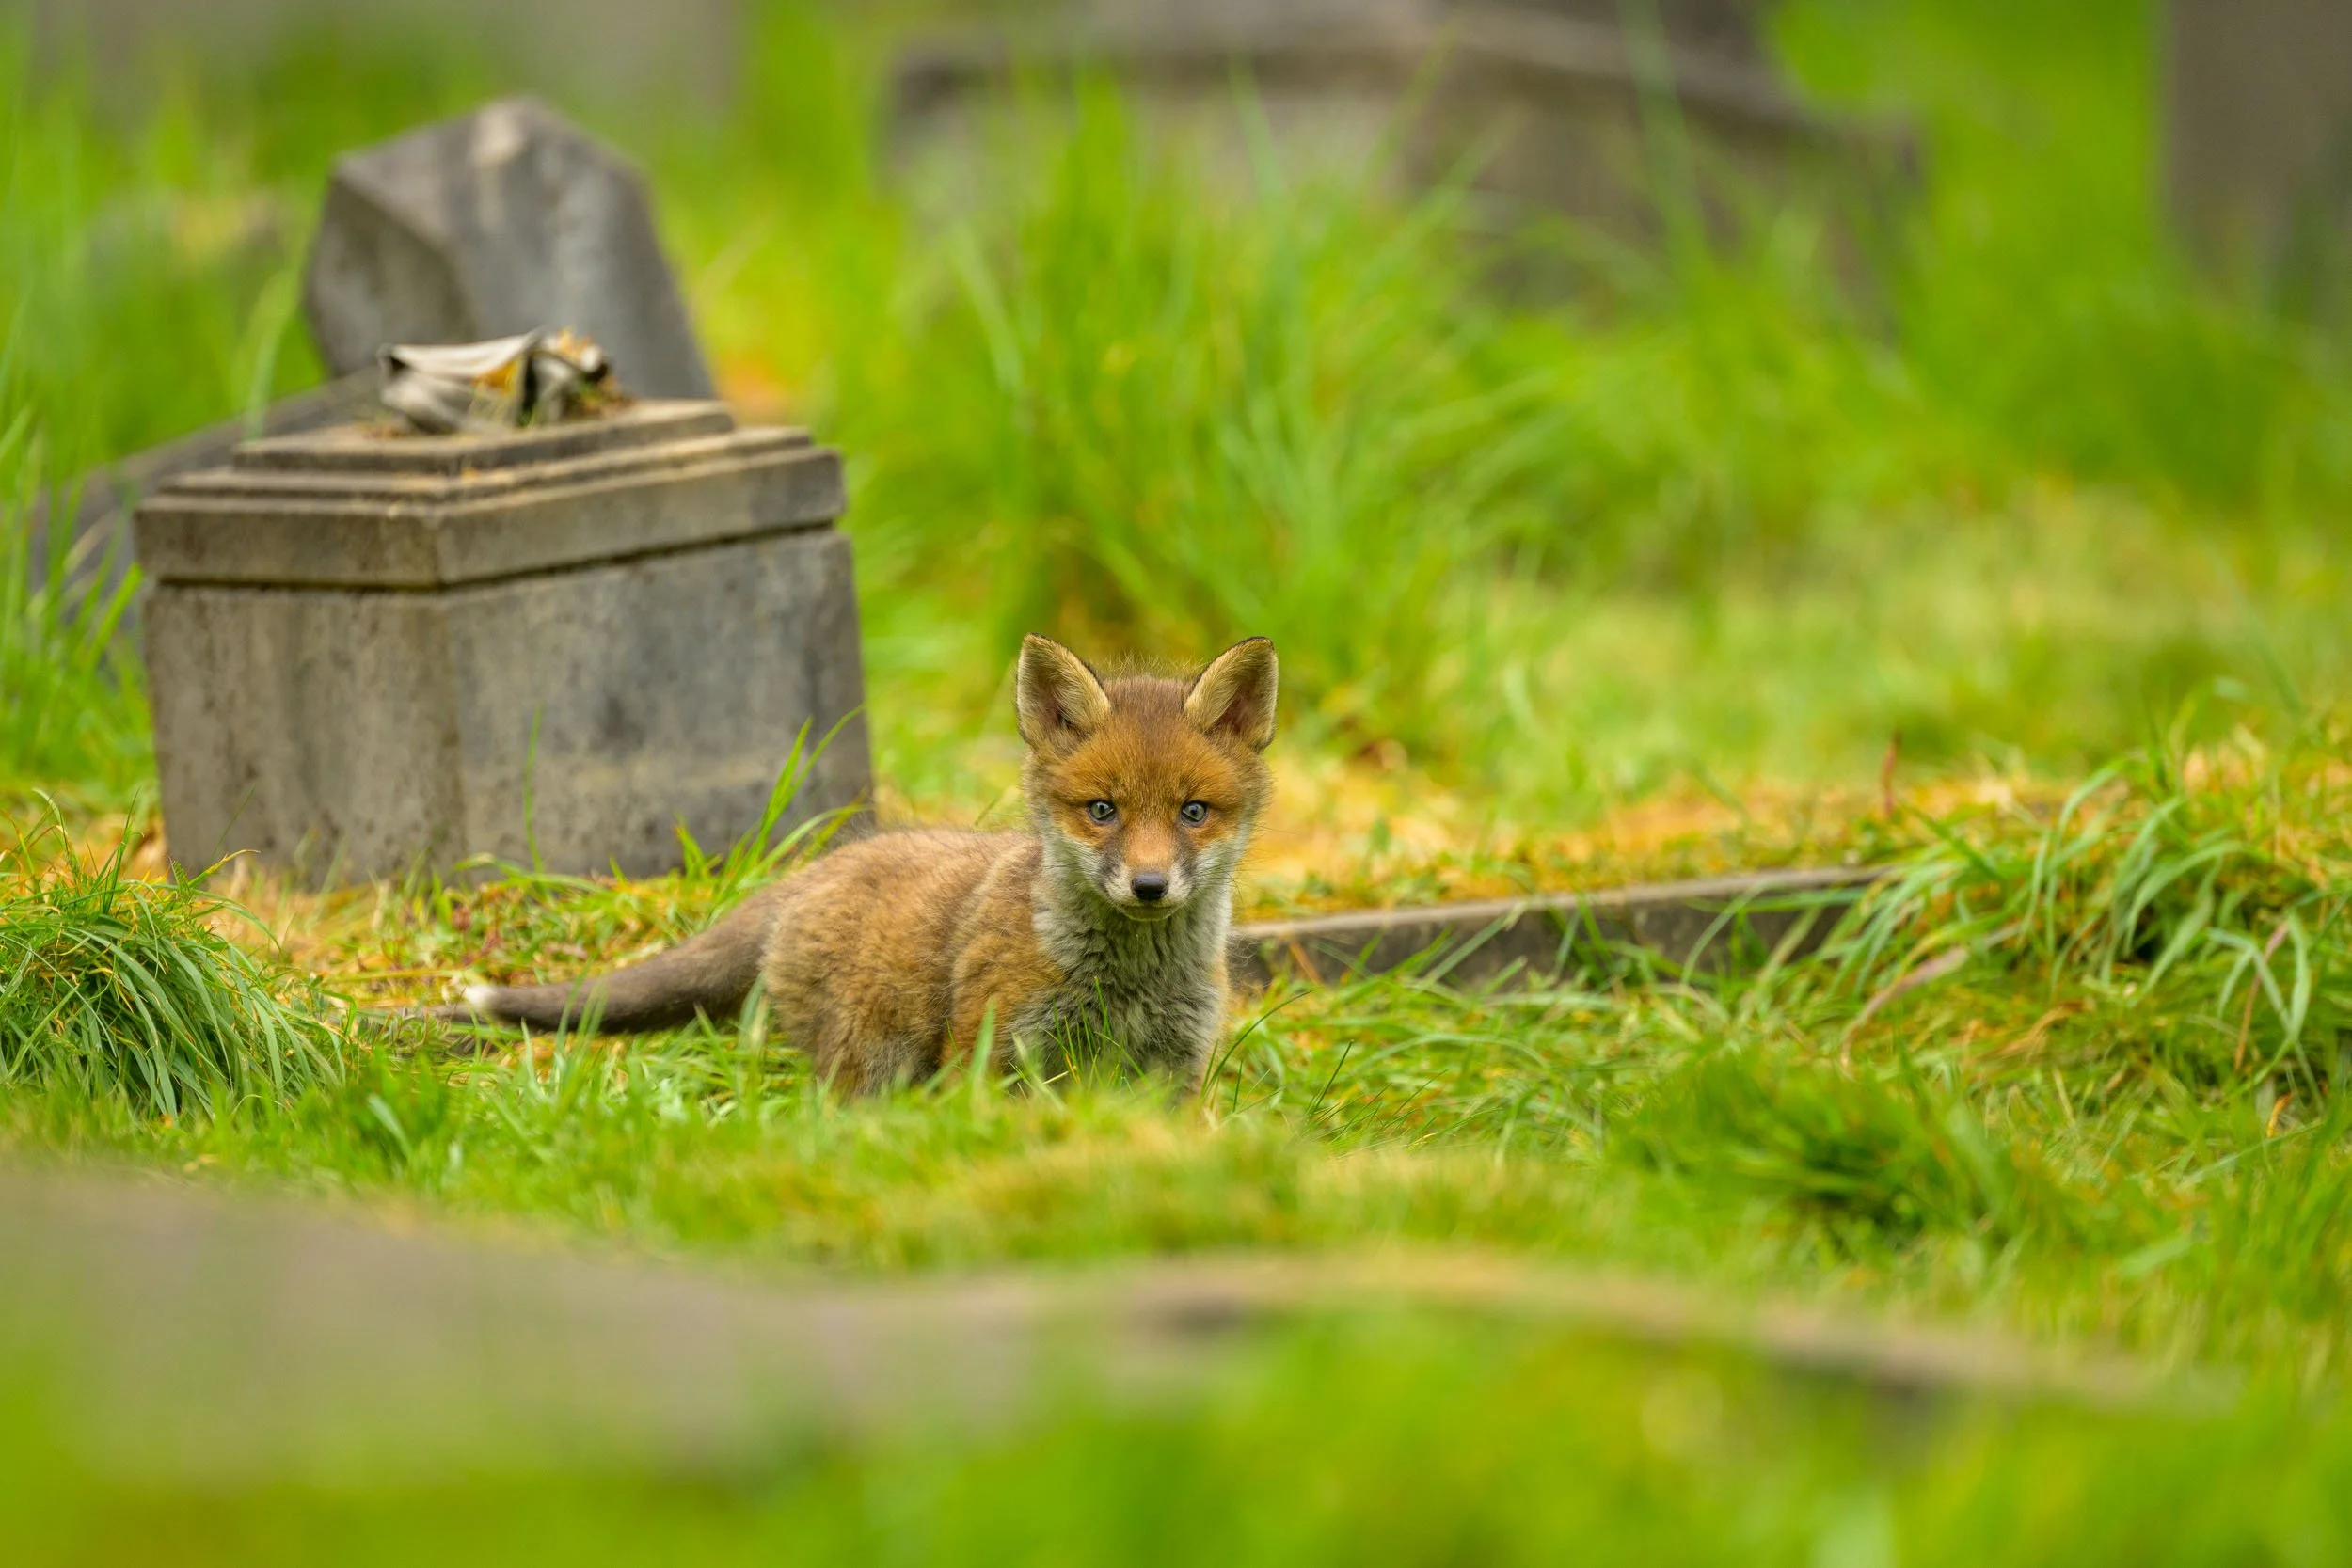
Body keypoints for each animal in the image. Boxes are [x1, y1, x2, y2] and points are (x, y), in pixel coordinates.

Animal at [432, 633, 1279, 1093]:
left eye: (1193, 813)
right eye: (1102, 810)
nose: (1148, 886)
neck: (1130, 982)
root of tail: (811, 871)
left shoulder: (1174, 1069)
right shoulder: (994, 1057)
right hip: (868, 1064)